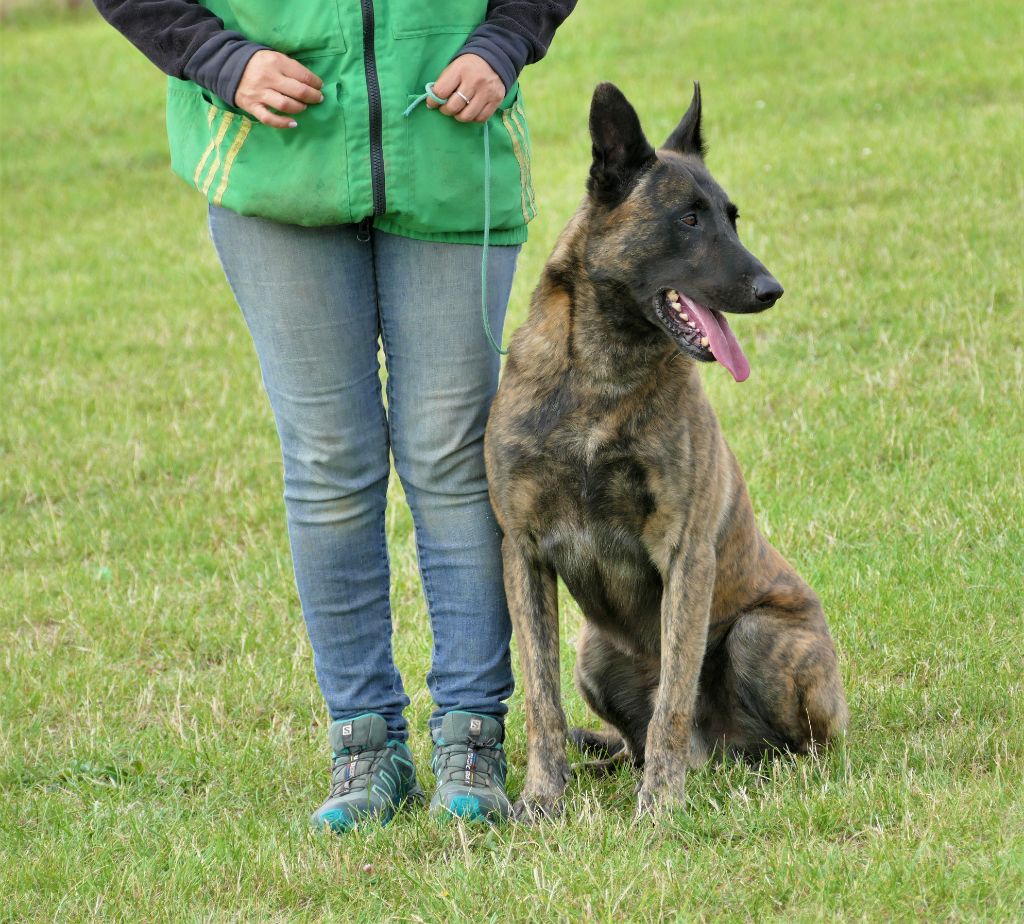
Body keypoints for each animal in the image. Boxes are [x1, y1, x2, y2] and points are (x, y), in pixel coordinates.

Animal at [485, 82, 847, 819]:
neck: (600, 377)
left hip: (761, 637)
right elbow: (540, 699)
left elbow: (674, 695)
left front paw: (659, 805)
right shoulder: (523, 553)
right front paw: (542, 796)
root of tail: (720, 752)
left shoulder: (686, 553)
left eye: (732, 219)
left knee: (792, 745)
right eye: (688, 219)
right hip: (595, 654)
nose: (771, 290)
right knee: (630, 735)